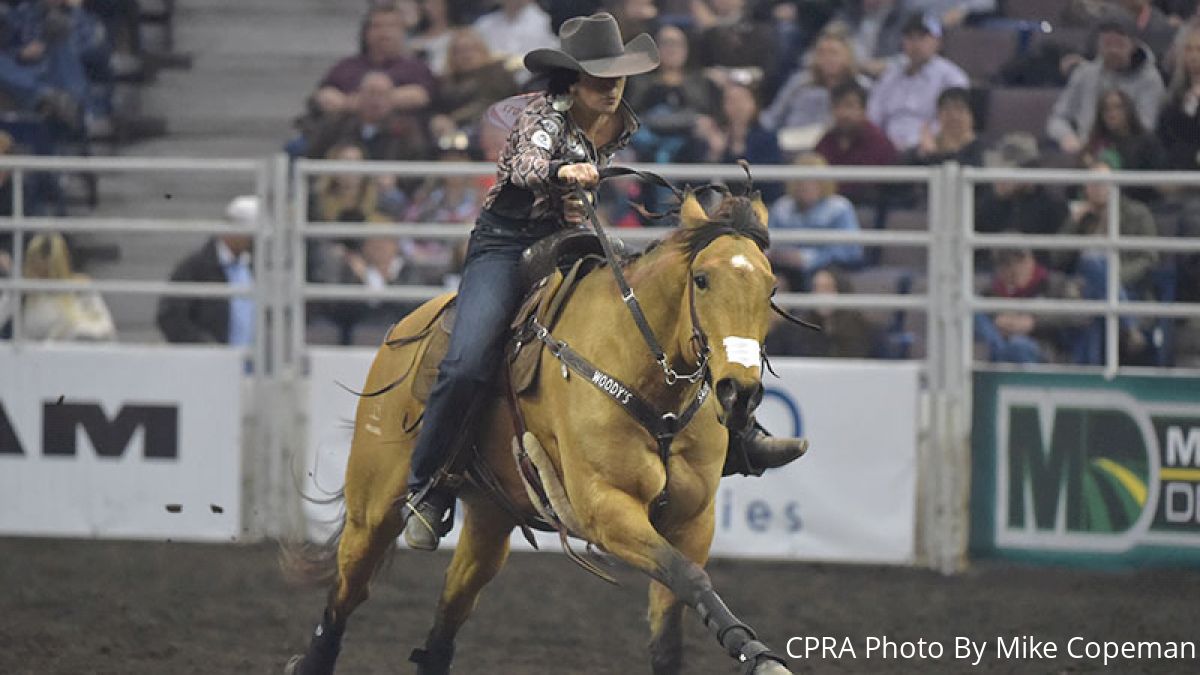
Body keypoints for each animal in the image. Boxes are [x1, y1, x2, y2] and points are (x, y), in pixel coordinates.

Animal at [283, 172, 796, 672]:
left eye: (771, 289)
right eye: (702, 279)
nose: (738, 392)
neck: (651, 384)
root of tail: (406, 327)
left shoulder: (693, 518)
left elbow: (673, 625)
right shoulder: (605, 508)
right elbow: (689, 577)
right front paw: (762, 659)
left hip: (490, 519)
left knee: (447, 619)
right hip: (372, 509)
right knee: (346, 595)